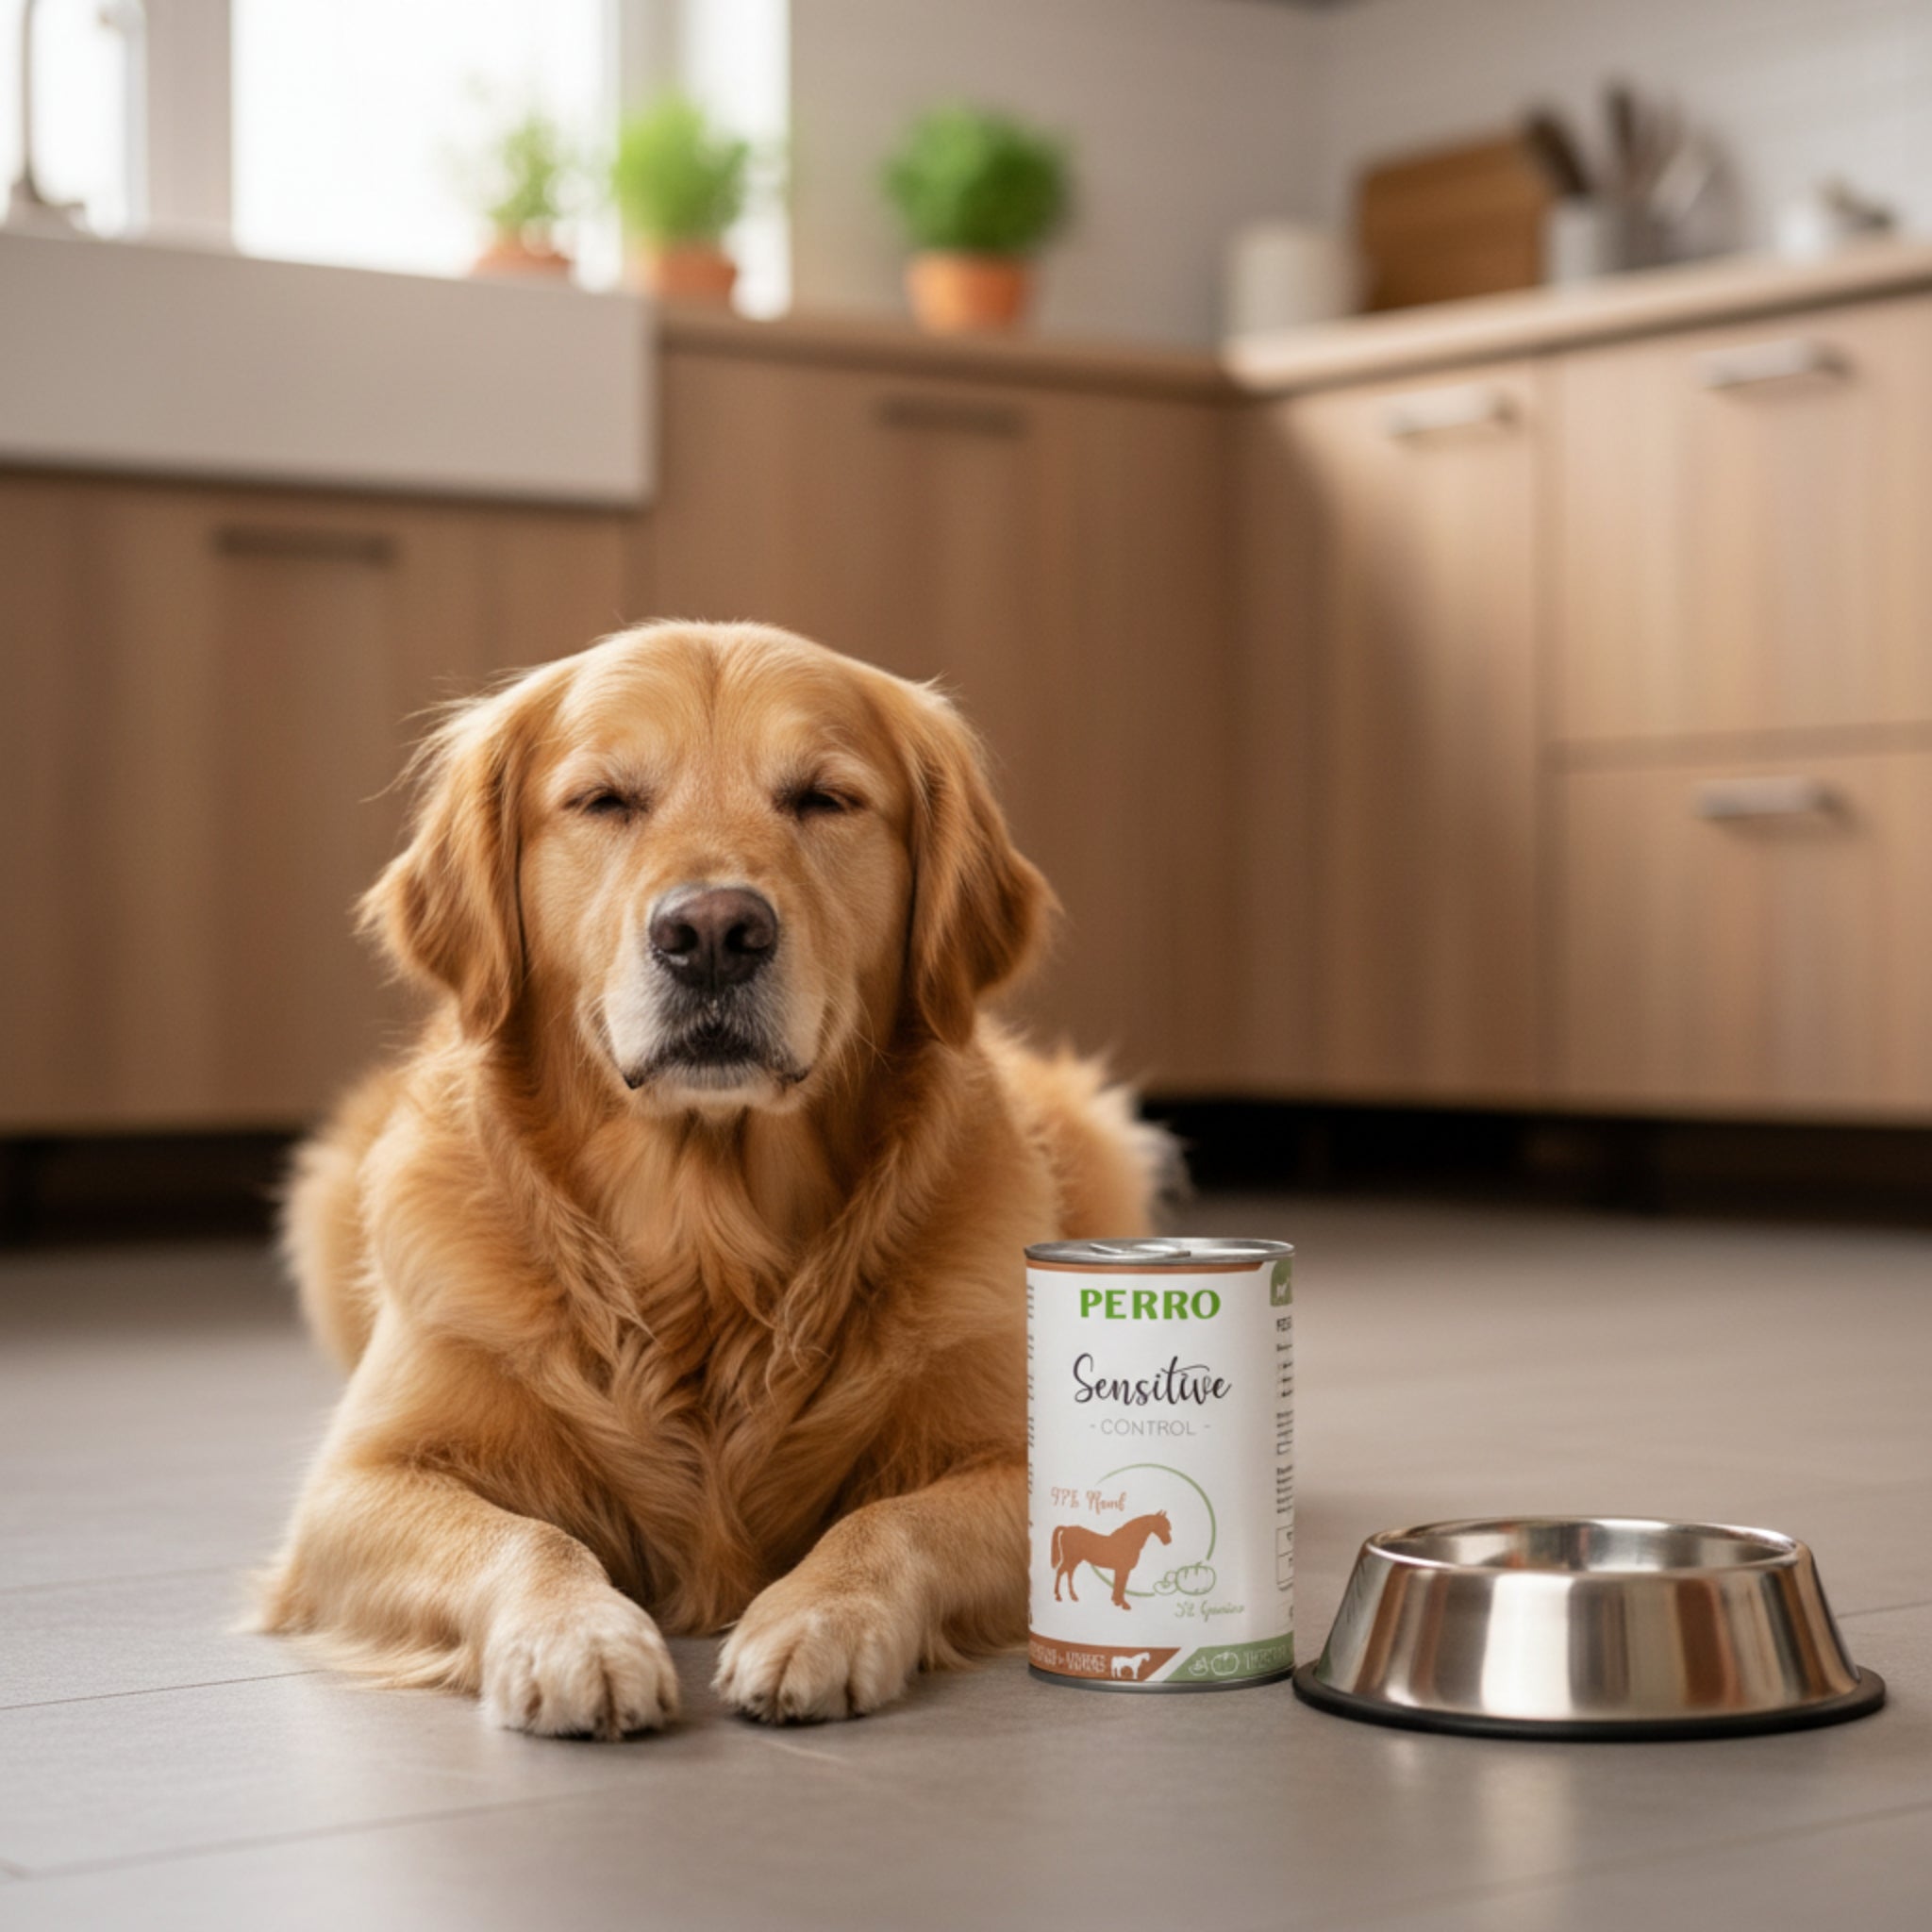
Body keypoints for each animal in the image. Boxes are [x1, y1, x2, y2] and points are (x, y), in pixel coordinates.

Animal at [1050, 1511, 1172, 1608]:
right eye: (1161, 1525)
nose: (1168, 1541)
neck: (1128, 1541)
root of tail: (1066, 1528)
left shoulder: (1121, 1569)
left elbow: (1119, 1584)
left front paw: (1116, 1601)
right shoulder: (1123, 1569)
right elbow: (1121, 1585)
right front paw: (1123, 1604)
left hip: (1074, 1560)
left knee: (1069, 1573)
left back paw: (1073, 1596)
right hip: (1070, 1559)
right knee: (1061, 1572)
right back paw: (1058, 1596)